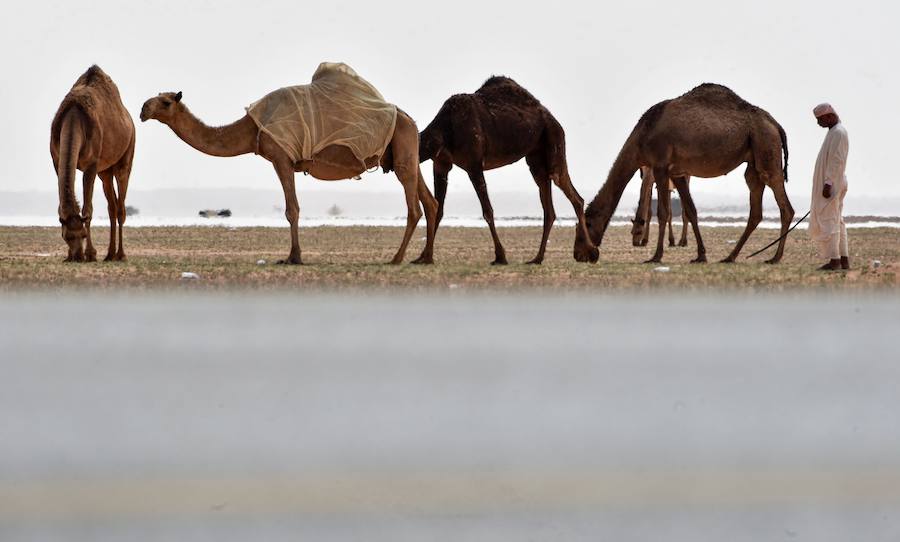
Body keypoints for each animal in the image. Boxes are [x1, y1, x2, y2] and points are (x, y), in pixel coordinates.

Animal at [50, 65, 135, 262]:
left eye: (82, 235)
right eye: (66, 236)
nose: (77, 256)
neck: (74, 116)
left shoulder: (91, 164)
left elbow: (88, 210)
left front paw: (91, 254)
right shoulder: (57, 161)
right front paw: (70, 255)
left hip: (126, 156)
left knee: (121, 208)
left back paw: (121, 254)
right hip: (105, 171)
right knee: (112, 207)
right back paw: (110, 254)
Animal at [140, 75, 436, 266]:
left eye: (166, 102)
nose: (143, 109)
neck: (252, 128)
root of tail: (408, 118)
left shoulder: (281, 158)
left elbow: (291, 209)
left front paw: (294, 257)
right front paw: (294, 255)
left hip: (402, 147)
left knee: (414, 207)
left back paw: (397, 258)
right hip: (408, 151)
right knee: (430, 202)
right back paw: (424, 257)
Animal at [418, 76, 598, 264]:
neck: (445, 127)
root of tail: (553, 119)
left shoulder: (474, 164)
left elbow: (488, 211)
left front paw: (500, 256)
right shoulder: (441, 164)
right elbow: (437, 208)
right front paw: (424, 256)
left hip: (554, 141)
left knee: (573, 195)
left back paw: (591, 252)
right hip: (536, 159)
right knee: (549, 208)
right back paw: (537, 258)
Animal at [581, 83, 792, 265]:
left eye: (587, 224)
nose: (579, 254)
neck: (643, 135)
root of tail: (776, 124)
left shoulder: (660, 166)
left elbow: (663, 212)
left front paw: (656, 256)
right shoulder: (677, 173)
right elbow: (691, 211)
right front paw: (700, 255)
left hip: (766, 145)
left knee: (784, 205)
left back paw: (775, 257)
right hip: (754, 160)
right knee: (755, 209)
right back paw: (730, 257)